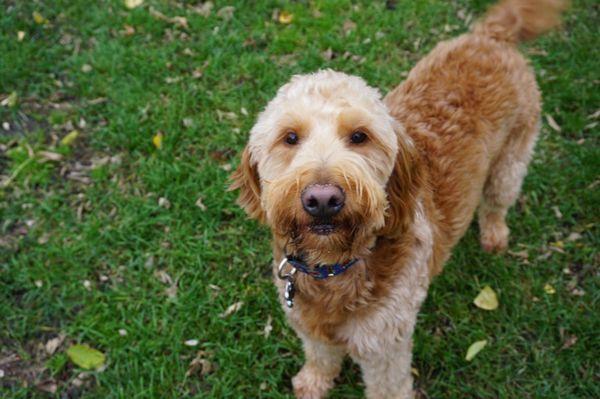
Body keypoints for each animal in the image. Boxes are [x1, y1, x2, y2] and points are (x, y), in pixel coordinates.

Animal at [230, 1, 568, 398]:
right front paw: (313, 382)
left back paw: (494, 234)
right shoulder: (307, 321)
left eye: (359, 136)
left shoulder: (384, 345)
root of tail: (492, 36)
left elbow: (388, 386)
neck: (335, 268)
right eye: (290, 137)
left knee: (497, 202)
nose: (323, 199)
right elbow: (321, 355)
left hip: (511, 160)